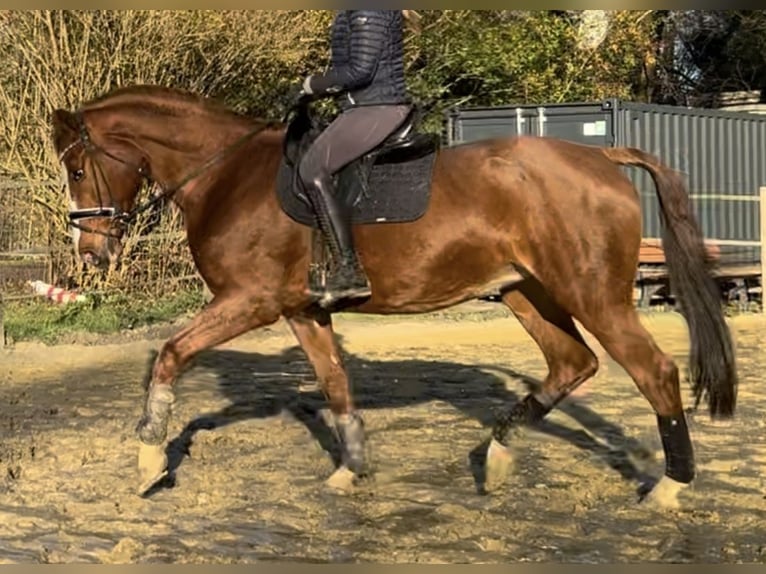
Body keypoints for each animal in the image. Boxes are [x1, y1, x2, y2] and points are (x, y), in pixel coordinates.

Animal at [52, 84, 736, 508]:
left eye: (79, 169)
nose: (91, 254)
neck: (225, 175)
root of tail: (601, 157)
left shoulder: (251, 301)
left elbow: (171, 354)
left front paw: (148, 461)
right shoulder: (303, 311)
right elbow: (335, 383)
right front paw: (349, 470)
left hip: (595, 296)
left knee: (653, 372)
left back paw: (671, 487)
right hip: (526, 292)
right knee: (573, 363)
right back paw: (496, 454)